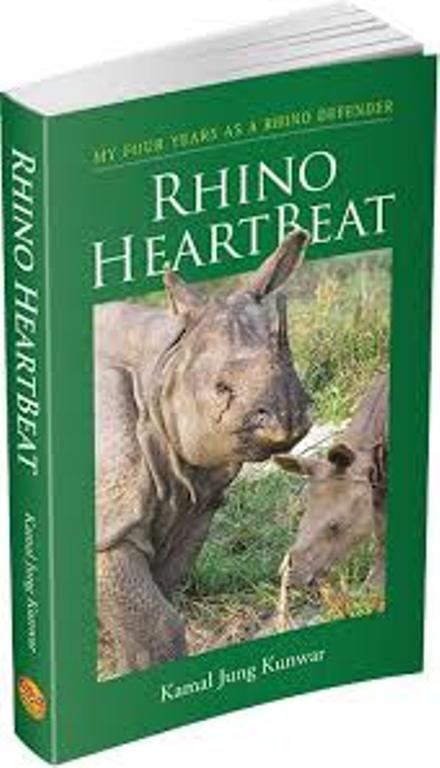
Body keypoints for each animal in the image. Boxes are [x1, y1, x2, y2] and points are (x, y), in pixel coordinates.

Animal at [96, 230, 311, 677]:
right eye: (221, 388)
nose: (286, 417)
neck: (164, 364)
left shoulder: (196, 497)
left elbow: (162, 594)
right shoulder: (111, 523)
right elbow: (156, 624)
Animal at [276, 371, 388, 591]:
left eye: (335, 526)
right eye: (301, 517)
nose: (295, 579)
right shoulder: (375, 488)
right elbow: (381, 532)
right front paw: (372, 588)